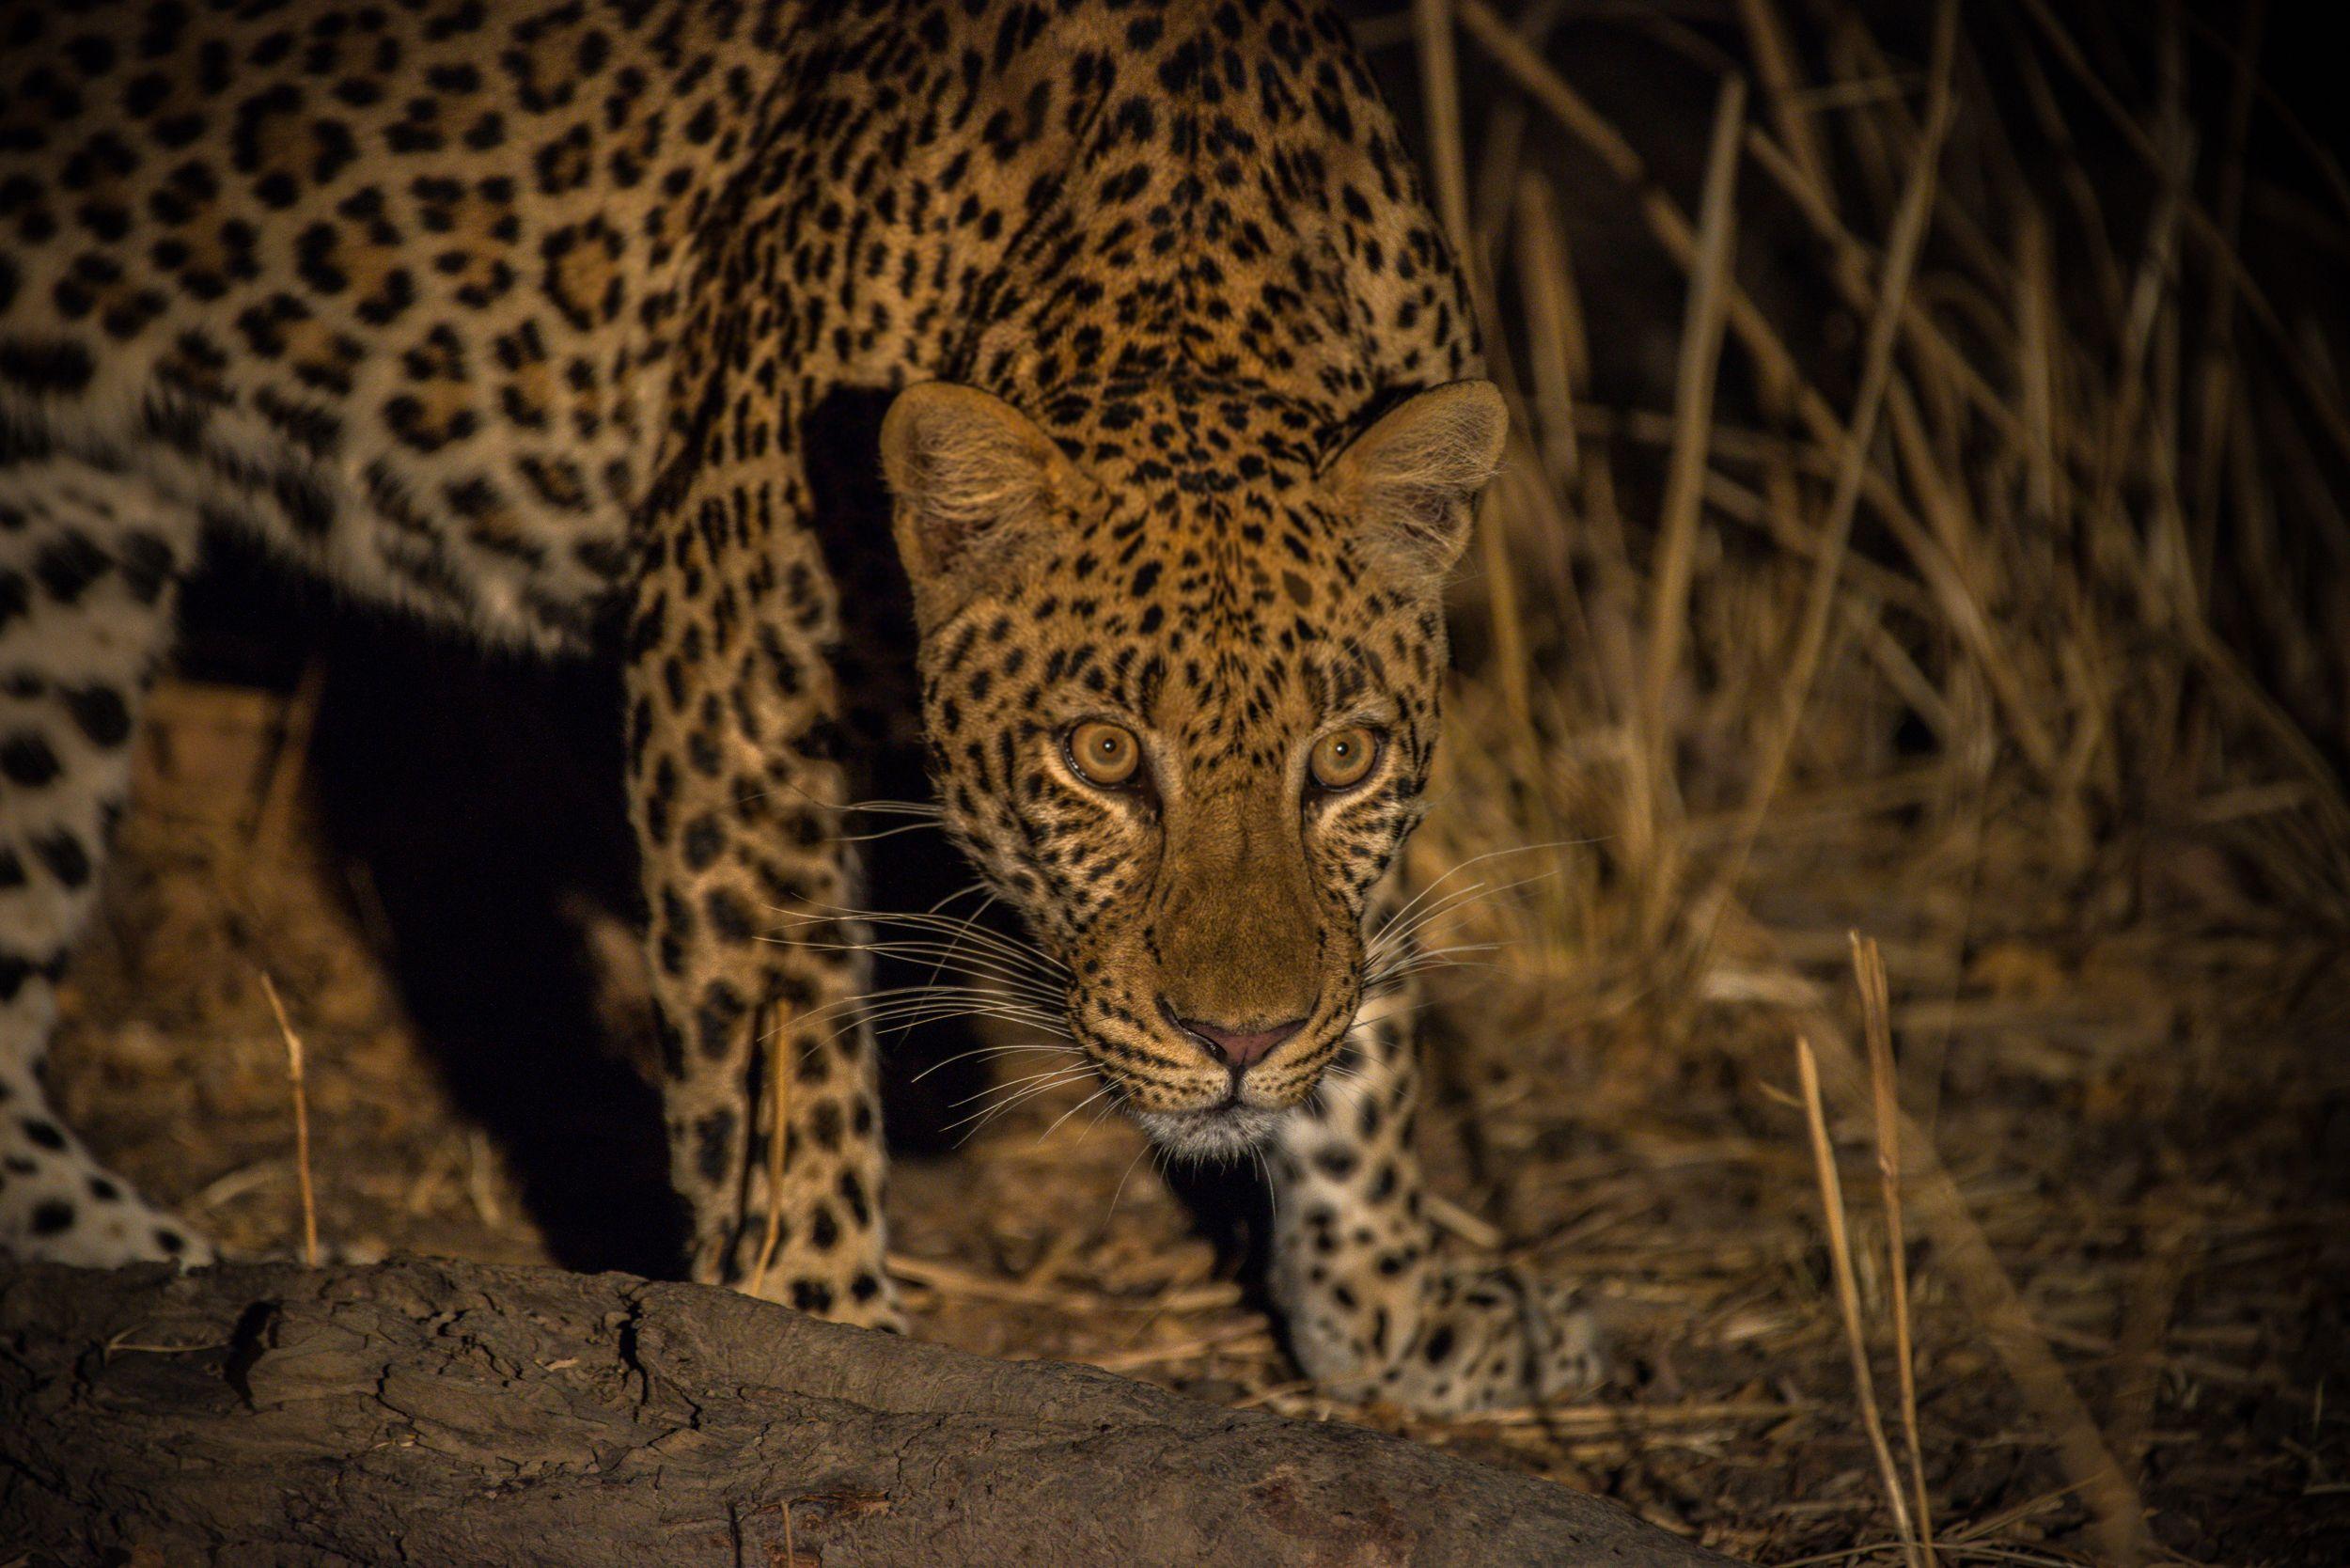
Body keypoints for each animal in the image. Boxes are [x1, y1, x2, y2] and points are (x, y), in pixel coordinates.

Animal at [0, 0, 1604, 1413]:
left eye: (1342, 758)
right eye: (1099, 757)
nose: (1240, 1046)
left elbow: (1377, 1001)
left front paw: (1391, 1313)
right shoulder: (731, 678)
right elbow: (779, 1059)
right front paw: (815, 1326)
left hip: (72, 539)